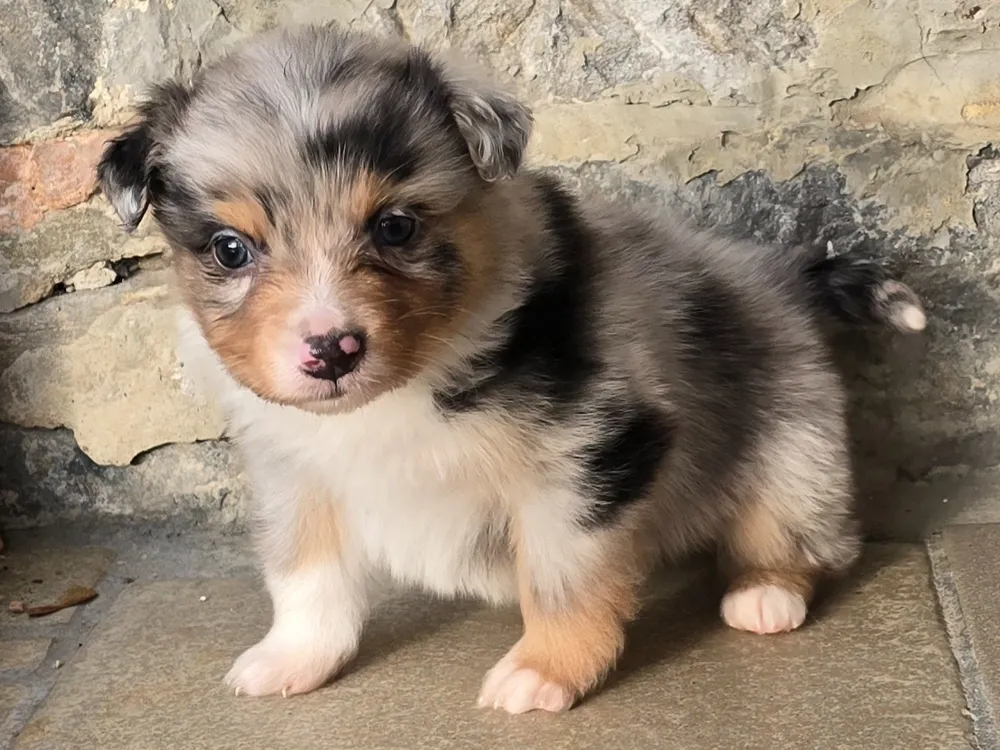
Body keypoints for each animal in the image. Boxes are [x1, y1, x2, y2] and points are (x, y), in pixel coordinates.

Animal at [97, 24, 926, 714]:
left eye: (396, 227)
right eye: (230, 249)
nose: (330, 350)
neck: (403, 386)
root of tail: (777, 274)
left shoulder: (590, 456)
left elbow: (562, 579)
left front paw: (542, 674)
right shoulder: (294, 472)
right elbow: (307, 575)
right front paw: (292, 659)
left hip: (797, 447)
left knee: (798, 535)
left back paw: (765, 597)